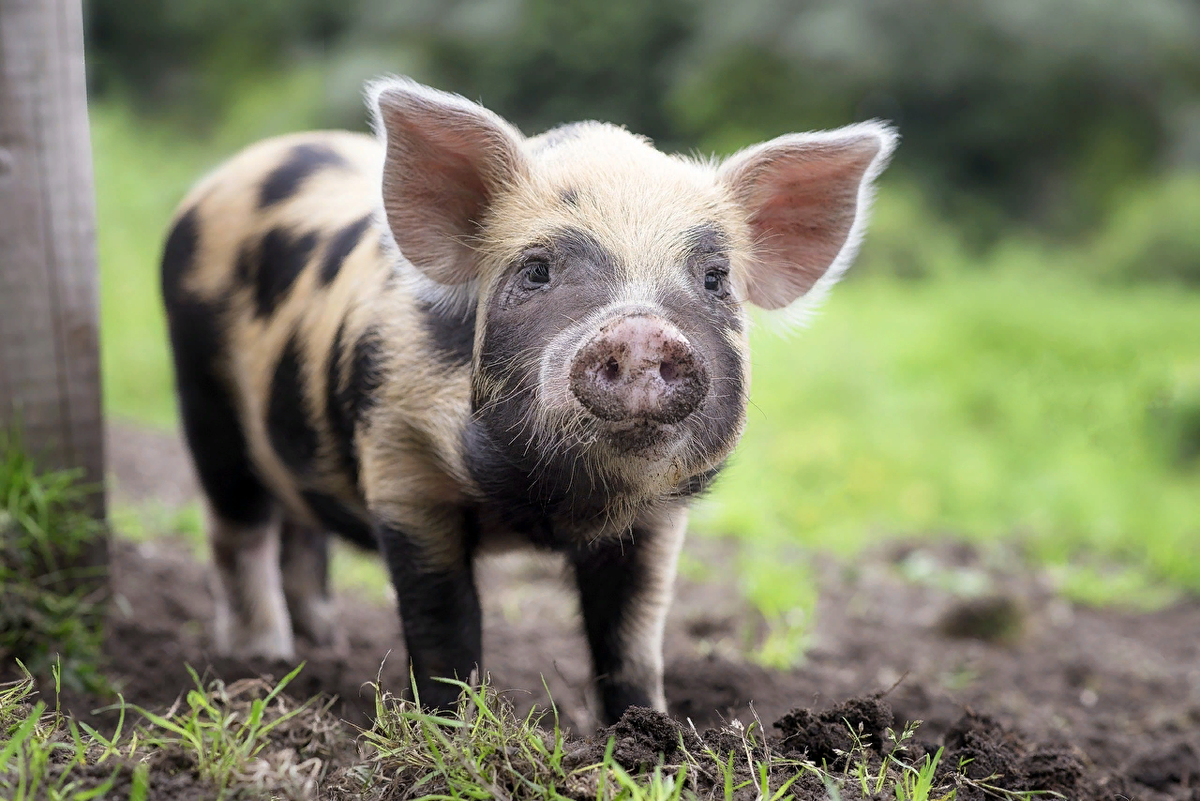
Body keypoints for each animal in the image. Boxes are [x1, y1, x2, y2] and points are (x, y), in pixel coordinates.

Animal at [157, 76, 892, 724]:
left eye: (714, 279)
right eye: (537, 271)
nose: (640, 328)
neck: (549, 505)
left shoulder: (657, 519)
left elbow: (631, 637)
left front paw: (651, 733)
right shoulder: (401, 464)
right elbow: (443, 625)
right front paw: (449, 730)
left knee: (301, 530)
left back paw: (323, 647)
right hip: (203, 398)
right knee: (238, 531)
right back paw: (262, 662)